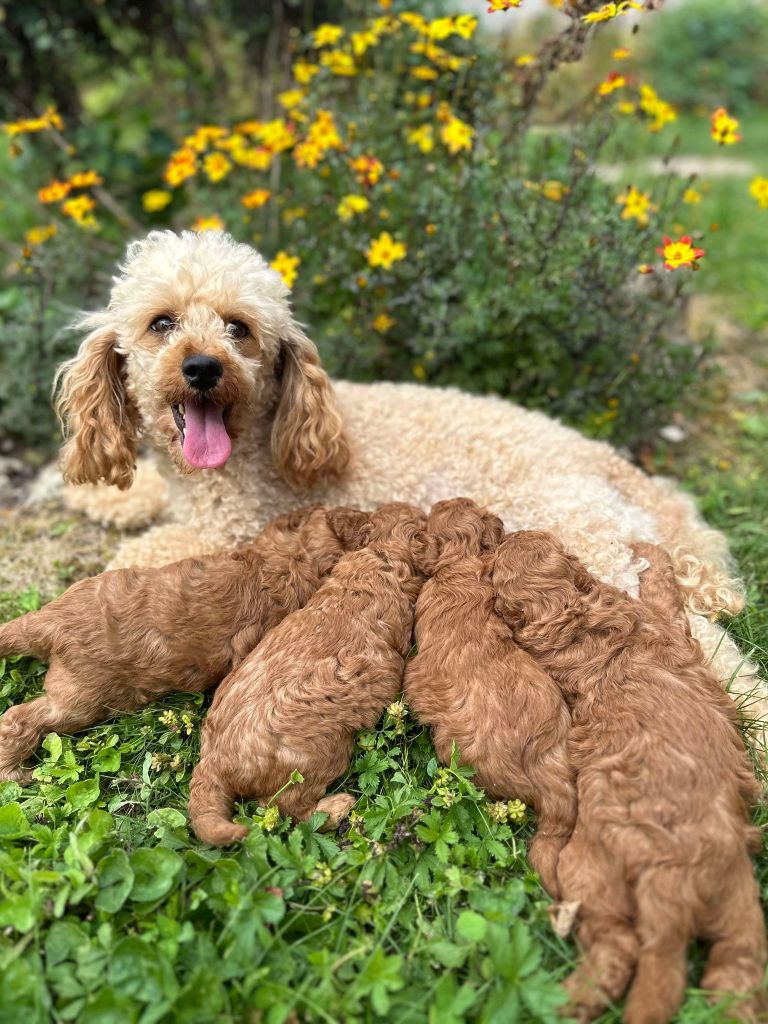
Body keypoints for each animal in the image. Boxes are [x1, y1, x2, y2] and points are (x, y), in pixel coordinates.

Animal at [52, 229, 765, 733]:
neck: (261, 436)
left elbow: (149, 549)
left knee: (704, 648)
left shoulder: (236, 529)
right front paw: (99, 491)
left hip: (582, 539)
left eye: (240, 329)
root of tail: (613, 464)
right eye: (162, 323)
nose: (203, 367)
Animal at [493, 532, 768, 1024]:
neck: (572, 619)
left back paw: (572, 1001)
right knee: (730, 962)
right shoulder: (664, 618)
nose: (510, 532)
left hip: (595, 877)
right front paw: (645, 547)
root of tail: (667, 888)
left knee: (632, 950)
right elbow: (661, 584)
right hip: (732, 894)